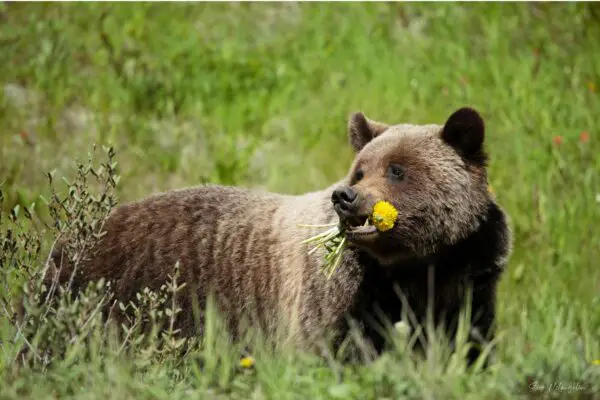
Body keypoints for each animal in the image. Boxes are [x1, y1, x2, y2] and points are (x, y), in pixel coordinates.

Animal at [44, 106, 510, 366]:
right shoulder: (340, 293)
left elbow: (467, 341)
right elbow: (339, 349)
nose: (346, 197)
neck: (416, 265)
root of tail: (68, 241)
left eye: (396, 170)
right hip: (119, 295)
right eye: (360, 170)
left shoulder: (470, 277)